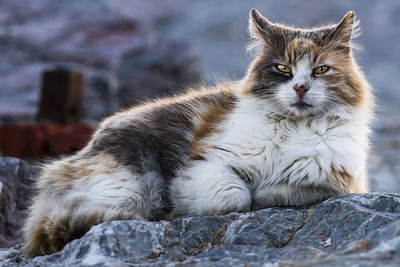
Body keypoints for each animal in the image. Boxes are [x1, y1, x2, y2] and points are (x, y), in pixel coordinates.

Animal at [24, 9, 376, 258]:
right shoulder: (204, 164)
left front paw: (267, 192)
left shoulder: (338, 180)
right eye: (283, 69)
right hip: (133, 183)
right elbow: (236, 195)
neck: (294, 127)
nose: (301, 88)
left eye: (320, 70)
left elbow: (288, 189)